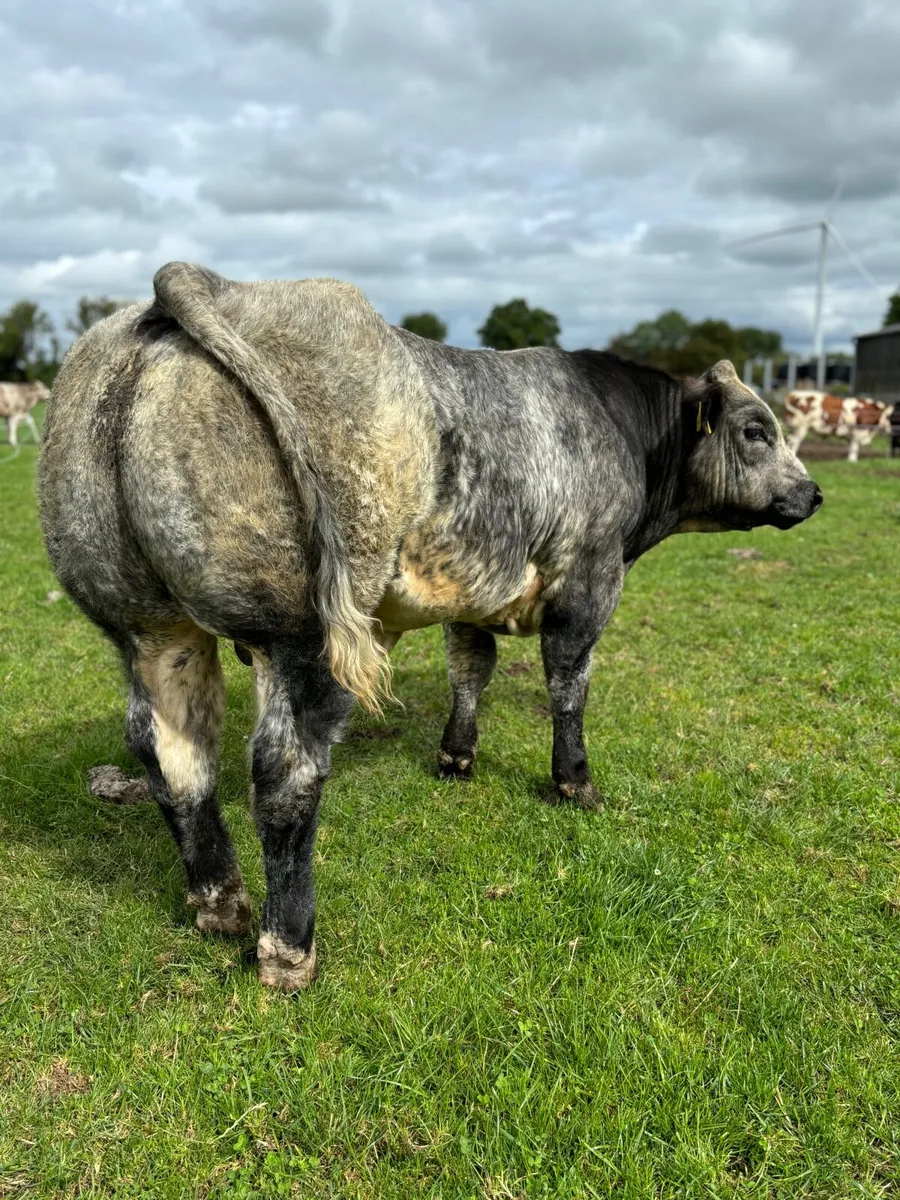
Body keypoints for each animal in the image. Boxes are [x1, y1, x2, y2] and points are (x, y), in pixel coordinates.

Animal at [38, 263, 822, 990]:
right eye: (756, 431)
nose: (813, 493)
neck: (618, 428)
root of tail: (215, 286)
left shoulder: (473, 591)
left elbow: (470, 670)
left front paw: (456, 758)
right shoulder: (590, 577)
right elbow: (569, 687)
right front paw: (575, 785)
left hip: (149, 628)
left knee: (172, 752)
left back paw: (218, 904)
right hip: (305, 636)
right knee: (285, 768)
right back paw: (288, 947)